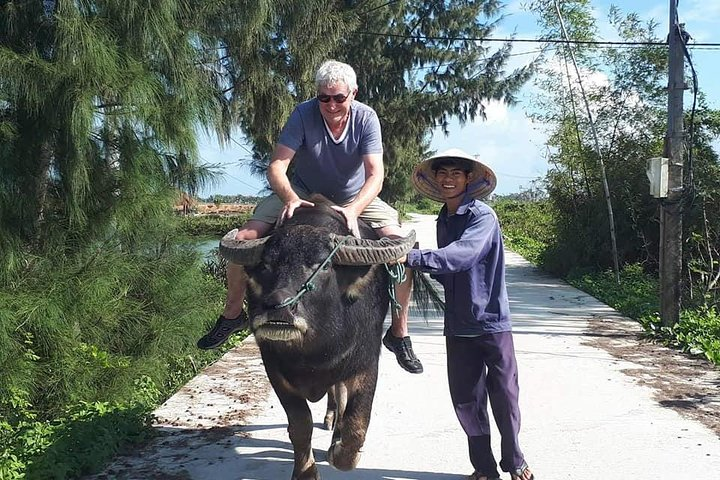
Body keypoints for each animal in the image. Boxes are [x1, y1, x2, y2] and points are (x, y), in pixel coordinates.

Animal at [219, 201, 417, 479]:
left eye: (322, 266)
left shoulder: (365, 363)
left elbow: (356, 424)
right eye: (265, 265)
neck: (313, 353)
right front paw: (305, 472)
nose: (277, 307)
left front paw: (338, 451)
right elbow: (300, 425)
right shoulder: (275, 370)